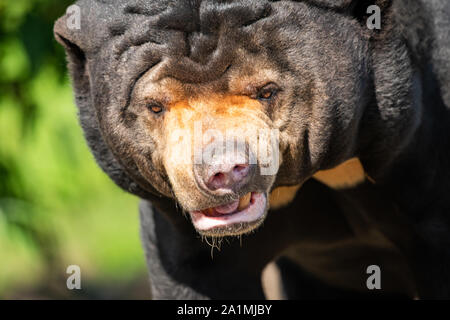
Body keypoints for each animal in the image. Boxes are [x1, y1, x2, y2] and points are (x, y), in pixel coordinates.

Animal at [54, 0, 450, 300]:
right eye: (155, 106)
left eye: (267, 91)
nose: (224, 171)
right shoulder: (175, 223)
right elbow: (196, 272)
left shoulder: (410, 141)